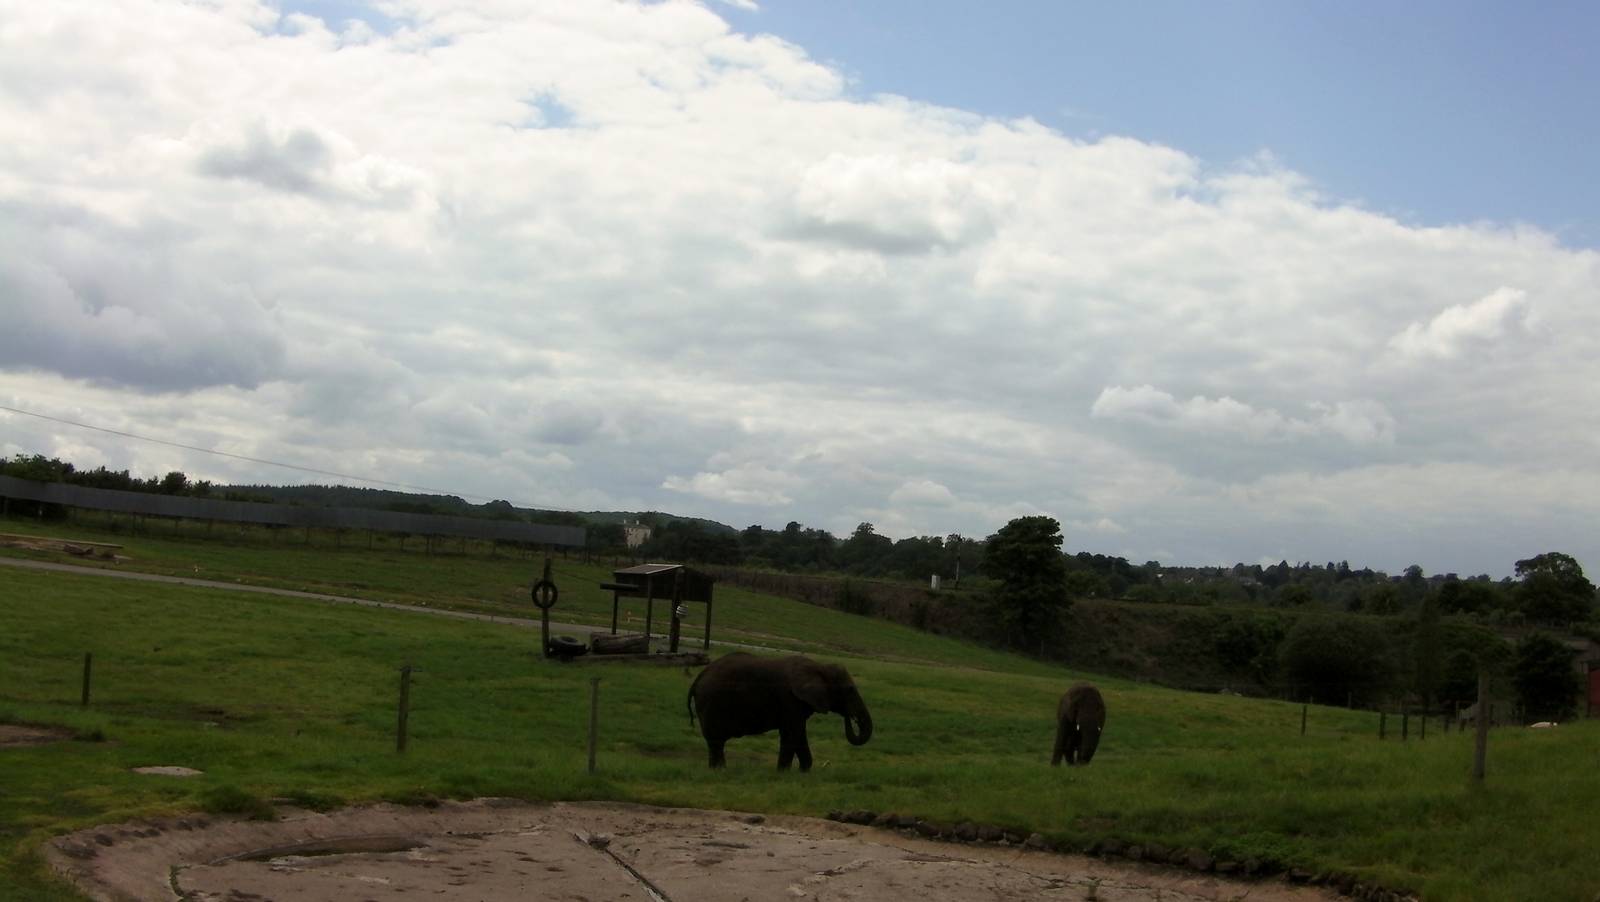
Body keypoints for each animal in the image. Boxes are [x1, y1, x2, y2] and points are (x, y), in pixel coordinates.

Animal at [687, 652, 873, 771]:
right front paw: (783, 773)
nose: (852, 718)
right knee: (716, 741)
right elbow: (792, 733)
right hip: (711, 703)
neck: (820, 667)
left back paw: (717, 770)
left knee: (714, 743)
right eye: (849, 690)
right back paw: (720, 770)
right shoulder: (789, 699)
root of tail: (698, 677)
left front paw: (804, 771)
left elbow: (798, 734)